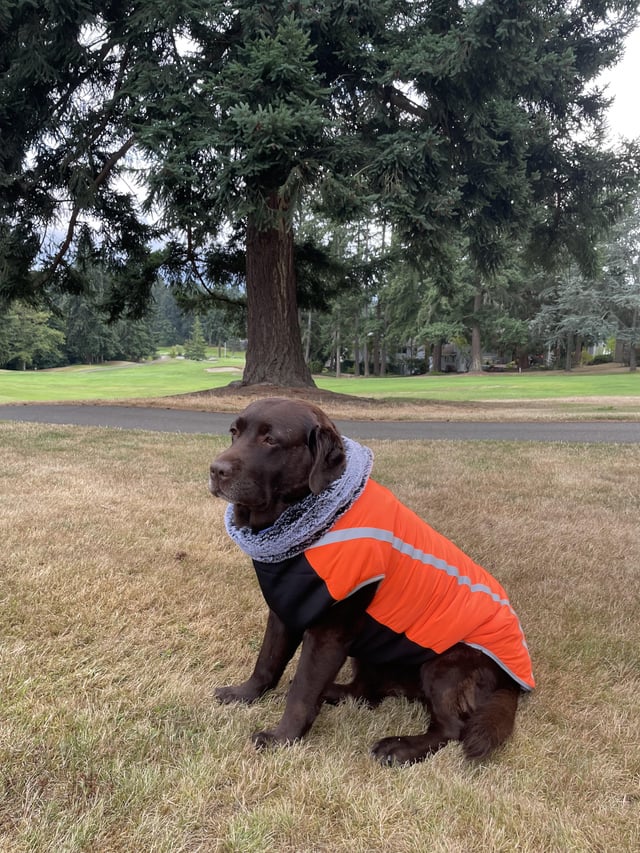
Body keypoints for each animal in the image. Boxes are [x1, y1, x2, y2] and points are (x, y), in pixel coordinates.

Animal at [208, 396, 532, 764]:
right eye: (234, 432)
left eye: (270, 439)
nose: (216, 469)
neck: (315, 522)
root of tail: (510, 683)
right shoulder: (284, 611)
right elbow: (267, 663)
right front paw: (244, 694)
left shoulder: (330, 631)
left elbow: (302, 692)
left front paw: (282, 738)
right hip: (368, 654)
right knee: (366, 692)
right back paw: (335, 693)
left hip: (445, 663)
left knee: (450, 727)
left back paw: (400, 747)